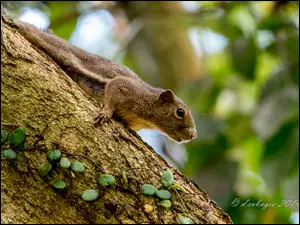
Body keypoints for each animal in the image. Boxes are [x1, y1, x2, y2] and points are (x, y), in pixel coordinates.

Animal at [14, 18, 197, 142]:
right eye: (180, 112)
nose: (193, 135)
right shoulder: (128, 88)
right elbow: (113, 92)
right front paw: (106, 113)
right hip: (56, 47)